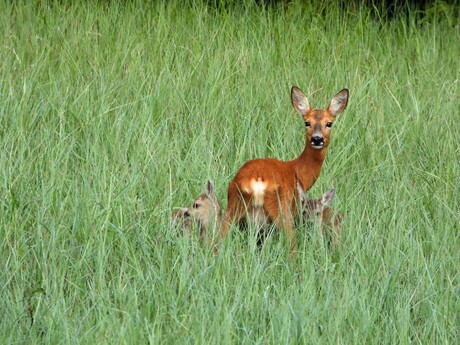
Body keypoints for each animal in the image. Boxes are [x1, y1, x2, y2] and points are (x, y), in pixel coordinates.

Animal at [216, 86, 348, 255]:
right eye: (307, 122)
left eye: (329, 123)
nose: (317, 139)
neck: (297, 171)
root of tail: (256, 182)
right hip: (281, 210)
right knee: (292, 248)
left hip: (234, 204)